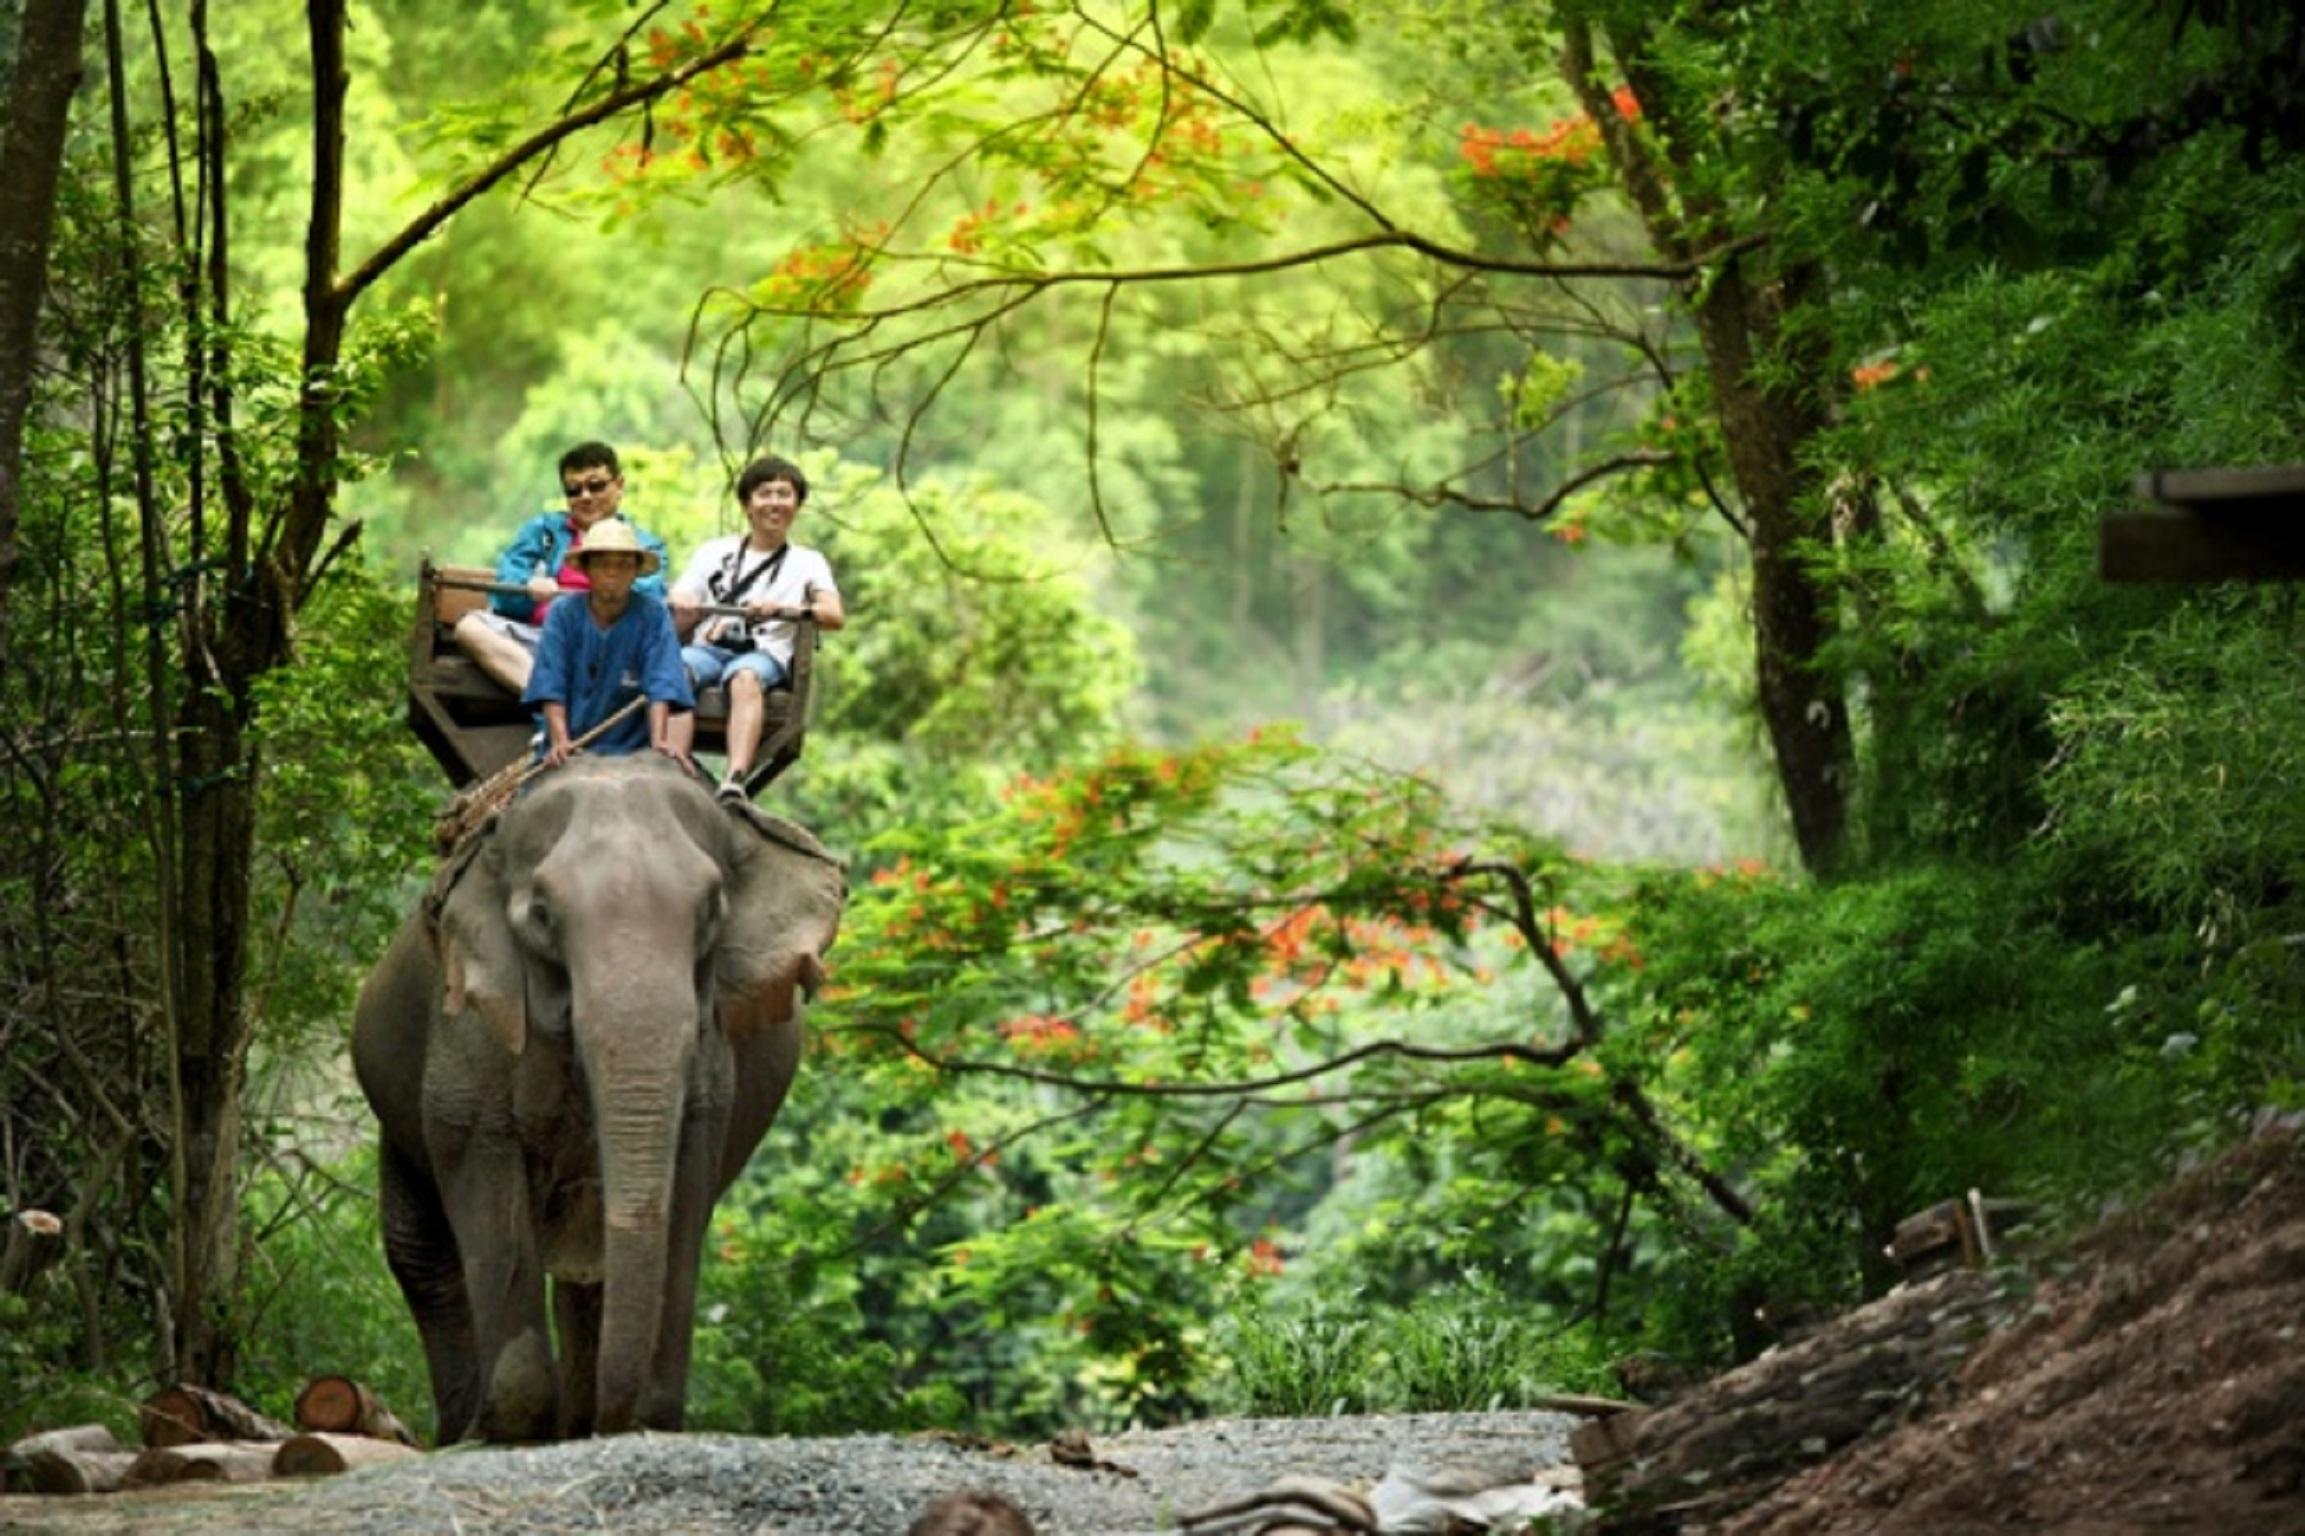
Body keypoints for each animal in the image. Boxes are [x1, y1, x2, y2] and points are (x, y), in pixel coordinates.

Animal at [364, 751, 852, 1439]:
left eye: (711, 911)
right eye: (543, 915)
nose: (612, 1417)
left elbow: (686, 1183)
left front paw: (647, 1416)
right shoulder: (469, 1021)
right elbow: (483, 1168)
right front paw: (513, 1427)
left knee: (584, 1277)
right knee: (422, 1251)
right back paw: (466, 1432)